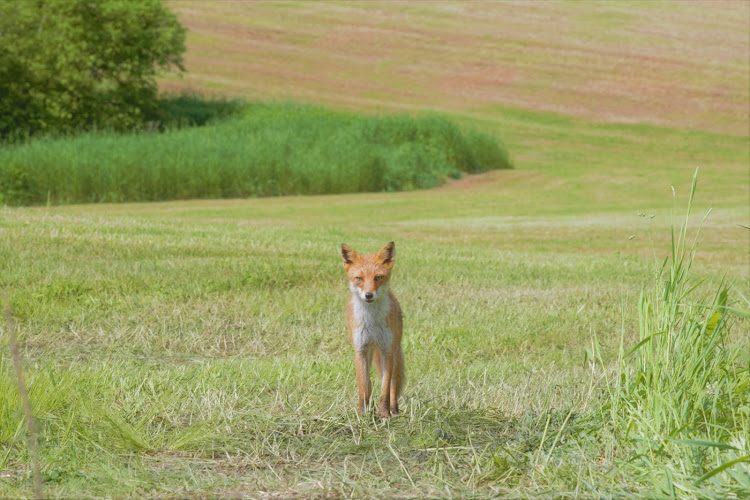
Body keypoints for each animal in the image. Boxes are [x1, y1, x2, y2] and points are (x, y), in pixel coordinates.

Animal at [340, 242, 406, 418]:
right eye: (359, 278)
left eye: (378, 277)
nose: (369, 295)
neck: (372, 323)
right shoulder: (361, 350)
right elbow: (364, 387)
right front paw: (363, 414)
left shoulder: (387, 350)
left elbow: (385, 388)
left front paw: (384, 414)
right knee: (369, 384)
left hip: (395, 352)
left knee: (393, 385)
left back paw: (394, 409)